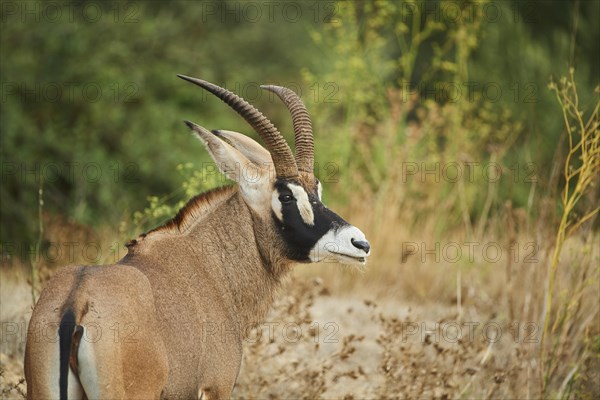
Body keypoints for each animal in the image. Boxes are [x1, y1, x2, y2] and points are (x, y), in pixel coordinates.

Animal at [24, 76, 370, 400]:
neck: (210, 265)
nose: (360, 243)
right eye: (286, 195)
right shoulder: (215, 387)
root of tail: (76, 303)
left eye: (317, 189)